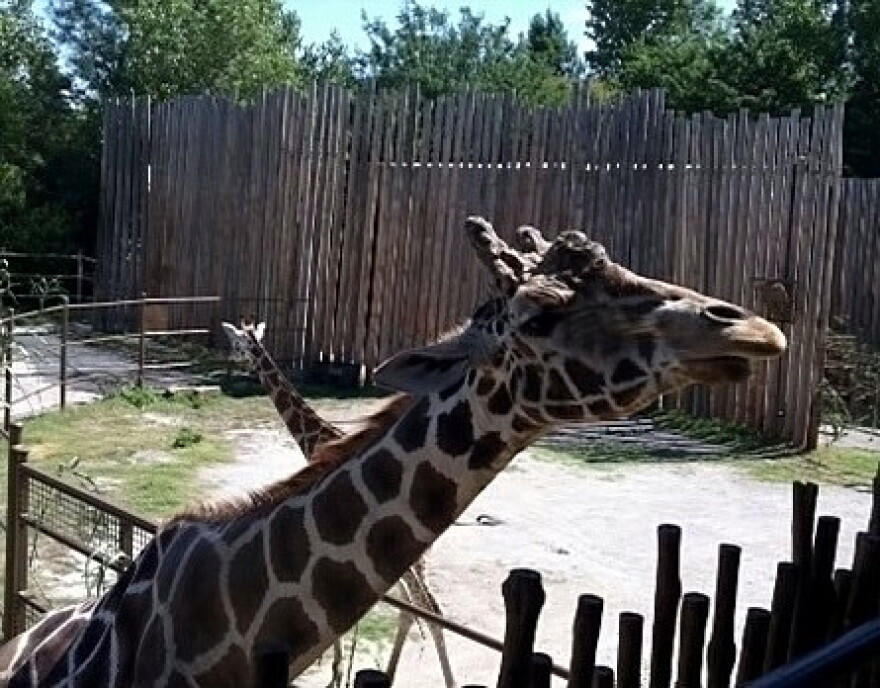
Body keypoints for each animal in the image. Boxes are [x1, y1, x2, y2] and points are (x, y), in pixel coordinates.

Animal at [220, 318, 455, 686]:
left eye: (238, 342)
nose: (231, 358)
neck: (317, 439)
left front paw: (335, 671)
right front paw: (336, 669)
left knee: (428, 608)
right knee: (414, 609)